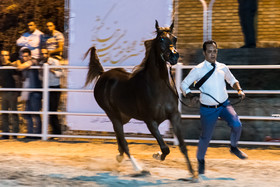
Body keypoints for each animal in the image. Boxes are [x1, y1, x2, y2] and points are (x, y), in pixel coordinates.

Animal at [84, 20, 196, 180]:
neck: (157, 86)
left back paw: (120, 157)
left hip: (124, 116)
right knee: (124, 142)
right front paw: (157, 155)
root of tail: (103, 74)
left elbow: (182, 146)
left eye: (174, 38)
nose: (174, 56)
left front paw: (193, 174)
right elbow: (165, 148)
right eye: (161, 39)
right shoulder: (150, 121)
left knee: (119, 138)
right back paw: (139, 169)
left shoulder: (174, 116)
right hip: (113, 114)